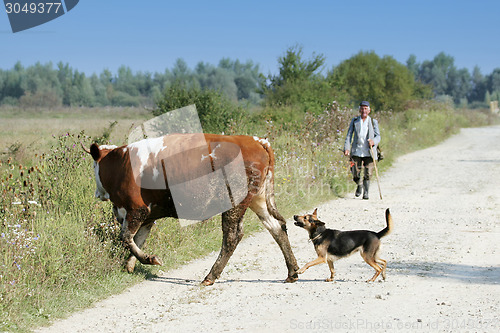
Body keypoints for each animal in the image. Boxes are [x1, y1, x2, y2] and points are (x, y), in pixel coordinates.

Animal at [84, 134, 298, 284]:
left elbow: (126, 238)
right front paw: (130, 265)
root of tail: (255, 140)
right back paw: (292, 271)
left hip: (234, 202)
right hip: (257, 199)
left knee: (232, 236)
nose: (95, 193)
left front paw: (149, 259)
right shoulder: (148, 216)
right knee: (277, 227)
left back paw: (210, 276)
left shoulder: (137, 210)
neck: (120, 164)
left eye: (94, 166)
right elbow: (138, 239)